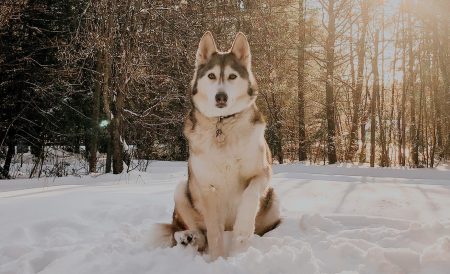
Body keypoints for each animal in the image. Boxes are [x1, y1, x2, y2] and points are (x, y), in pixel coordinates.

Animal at [156, 31, 280, 260]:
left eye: (232, 76)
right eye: (212, 76)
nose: (220, 97)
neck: (222, 123)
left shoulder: (263, 173)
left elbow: (250, 194)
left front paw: (242, 232)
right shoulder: (207, 187)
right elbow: (213, 232)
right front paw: (217, 259)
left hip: (274, 198)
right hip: (182, 189)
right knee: (192, 231)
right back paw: (188, 237)